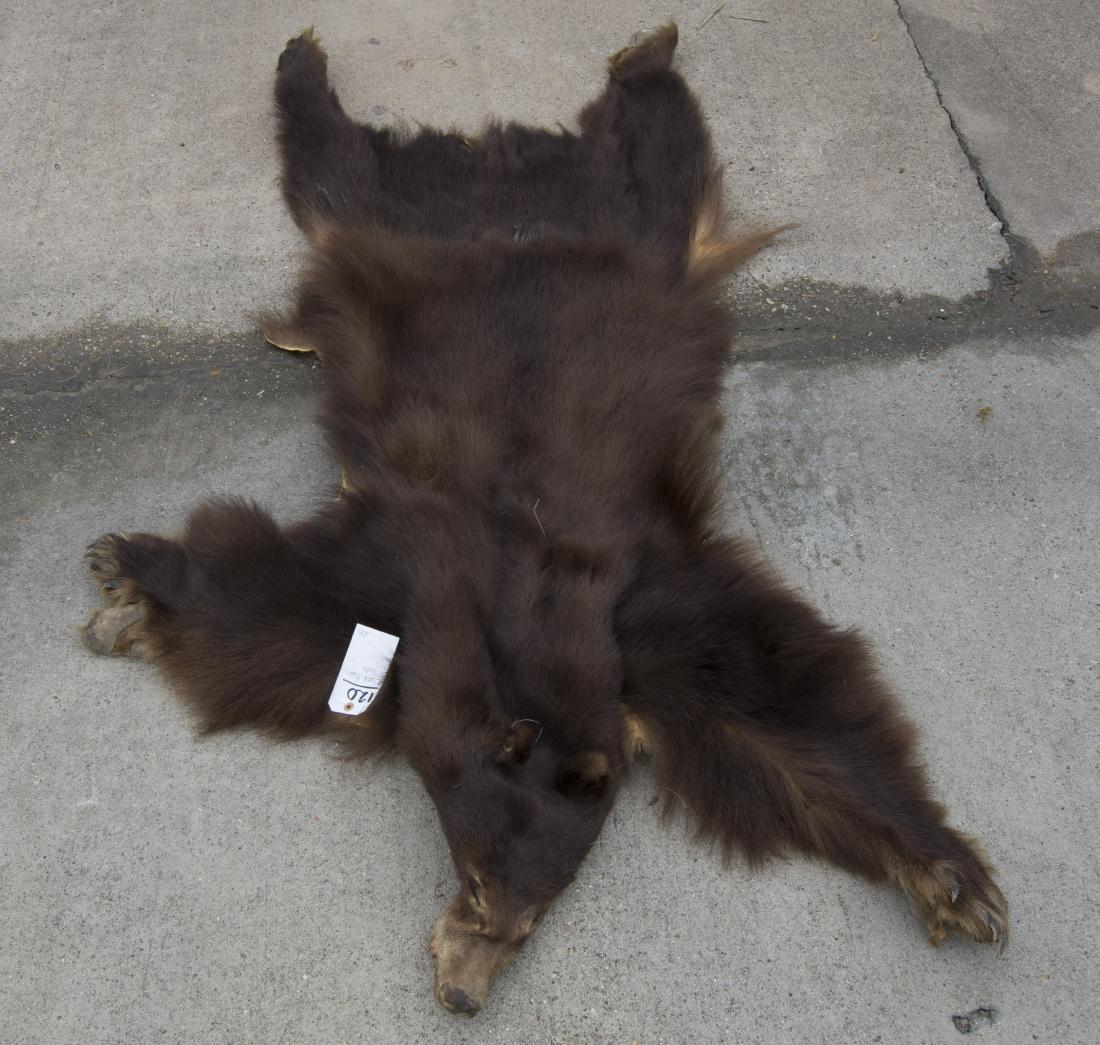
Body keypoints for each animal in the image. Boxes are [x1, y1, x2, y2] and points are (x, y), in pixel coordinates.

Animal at [80, 25, 1006, 1017]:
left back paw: (641, 48)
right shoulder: (415, 559)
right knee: (348, 168)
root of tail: (511, 168)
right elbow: (271, 599)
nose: (463, 996)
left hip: (638, 221)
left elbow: (785, 715)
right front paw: (127, 576)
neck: (520, 597)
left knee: (657, 145)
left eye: (532, 923)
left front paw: (954, 879)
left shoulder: (646, 619)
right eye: (481, 886)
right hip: (412, 215)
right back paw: (328, 59)